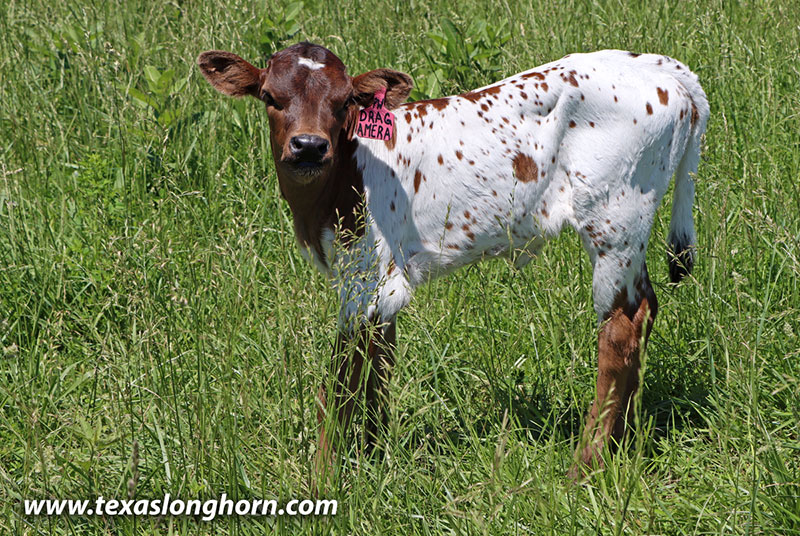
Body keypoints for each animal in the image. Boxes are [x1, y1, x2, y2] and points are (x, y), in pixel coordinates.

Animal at [197, 42, 709, 478]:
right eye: (270, 96)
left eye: (344, 102)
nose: (308, 146)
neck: (342, 179)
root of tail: (655, 65)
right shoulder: (382, 284)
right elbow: (378, 364)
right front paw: (372, 456)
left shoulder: (365, 280)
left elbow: (341, 380)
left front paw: (324, 477)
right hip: (629, 235)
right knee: (645, 310)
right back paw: (622, 442)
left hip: (614, 221)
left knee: (619, 330)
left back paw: (586, 466)